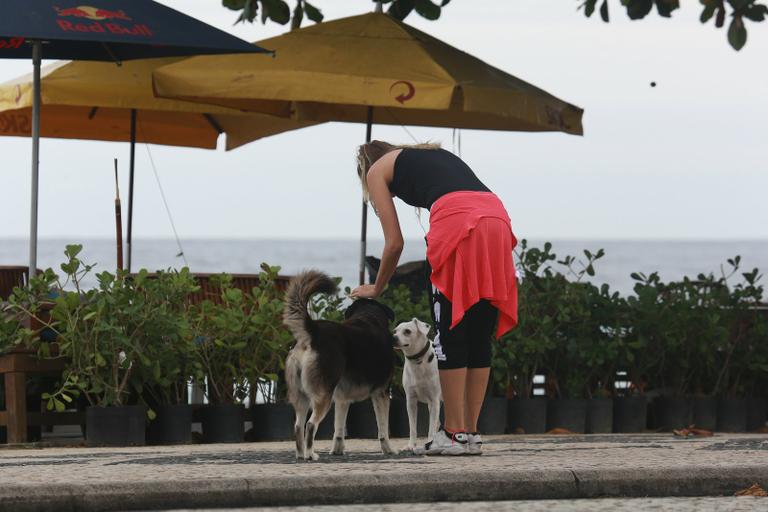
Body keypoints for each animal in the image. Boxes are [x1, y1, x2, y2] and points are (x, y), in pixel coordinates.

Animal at [282, 270, 396, 462]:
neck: (369, 318)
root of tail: (313, 332)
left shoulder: (342, 398)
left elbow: (339, 429)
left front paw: (337, 450)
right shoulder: (381, 393)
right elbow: (383, 430)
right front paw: (388, 449)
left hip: (301, 395)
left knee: (298, 426)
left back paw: (300, 454)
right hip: (323, 395)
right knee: (310, 425)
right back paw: (311, 454)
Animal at [392, 318, 440, 450]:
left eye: (407, 331)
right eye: (395, 331)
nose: (393, 338)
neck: (418, 361)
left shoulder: (435, 400)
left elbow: (431, 428)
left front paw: (430, 443)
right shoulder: (411, 401)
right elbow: (412, 428)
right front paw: (410, 445)